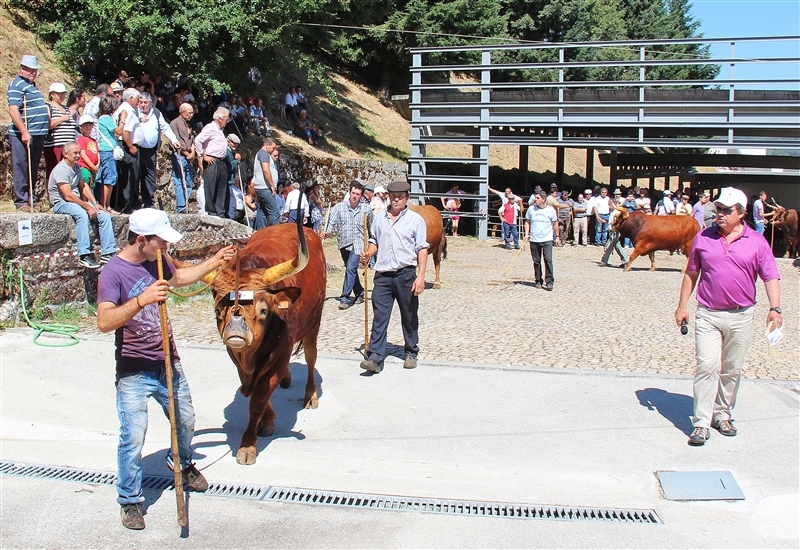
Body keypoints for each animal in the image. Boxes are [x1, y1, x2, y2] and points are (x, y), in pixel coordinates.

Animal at [212, 220, 328, 466]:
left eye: (263, 310)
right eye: (218, 310)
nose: (235, 333)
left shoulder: (280, 357)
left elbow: (258, 399)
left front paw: (247, 446)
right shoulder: (237, 359)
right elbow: (257, 391)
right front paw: (268, 420)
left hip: (313, 323)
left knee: (311, 357)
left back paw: (310, 395)